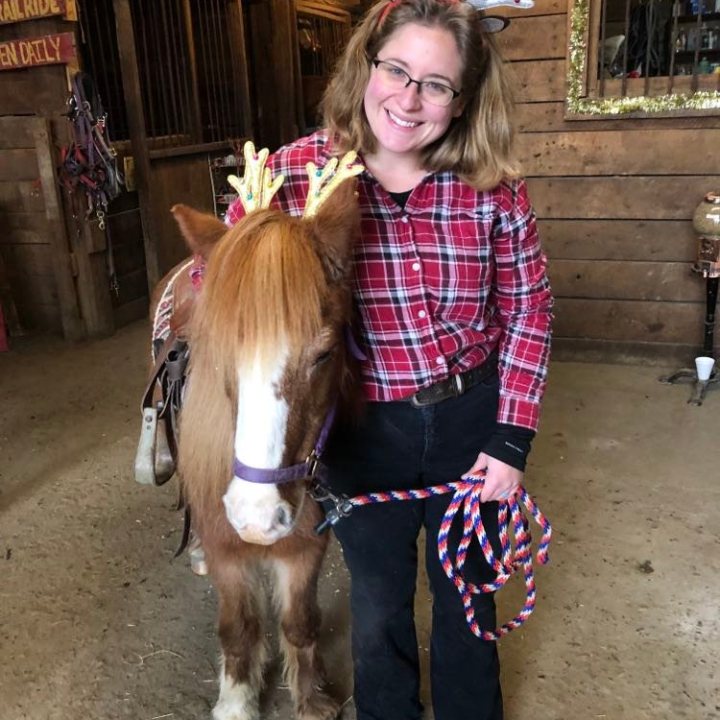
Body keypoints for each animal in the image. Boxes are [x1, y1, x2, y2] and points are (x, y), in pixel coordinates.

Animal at [146, 147, 362, 720]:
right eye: (219, 349)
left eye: (325, 353)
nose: (256, 518)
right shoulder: (228, 550)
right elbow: (239, 626)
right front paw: (237, 699)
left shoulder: (307, 542)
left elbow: (300, 621)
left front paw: (310, 697)